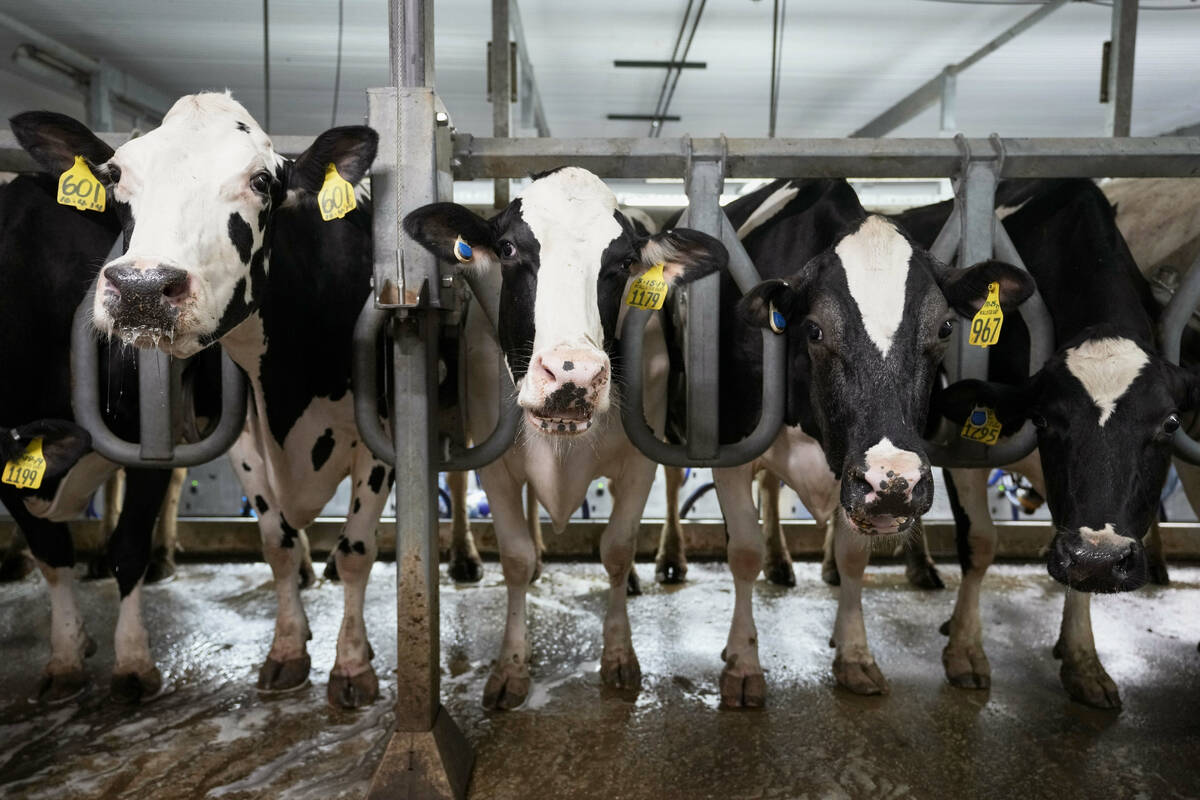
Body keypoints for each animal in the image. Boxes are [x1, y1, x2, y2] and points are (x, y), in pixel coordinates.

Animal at [403, 165, 724, 710]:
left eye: (624, 262)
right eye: (508, 248)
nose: (573, 375)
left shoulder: (640, 462)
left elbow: (617, 547)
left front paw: (619, 656)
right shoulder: (496, 465)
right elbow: (513, 557)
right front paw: (511, 667)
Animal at [710, 178, 1032, 705]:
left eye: (945, 327)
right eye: (814, 329)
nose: (893, 481)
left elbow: (853, 558)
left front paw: (855, 654)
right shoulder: (730, 446)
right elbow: (743, 552)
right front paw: (741, 664)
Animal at [902, 179, 1200, 705]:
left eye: (1168, 423)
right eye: (1041, 418)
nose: (1102, 556)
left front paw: (1082, 658)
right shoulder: (964, 445)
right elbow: (979, 543)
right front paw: (965, 652)